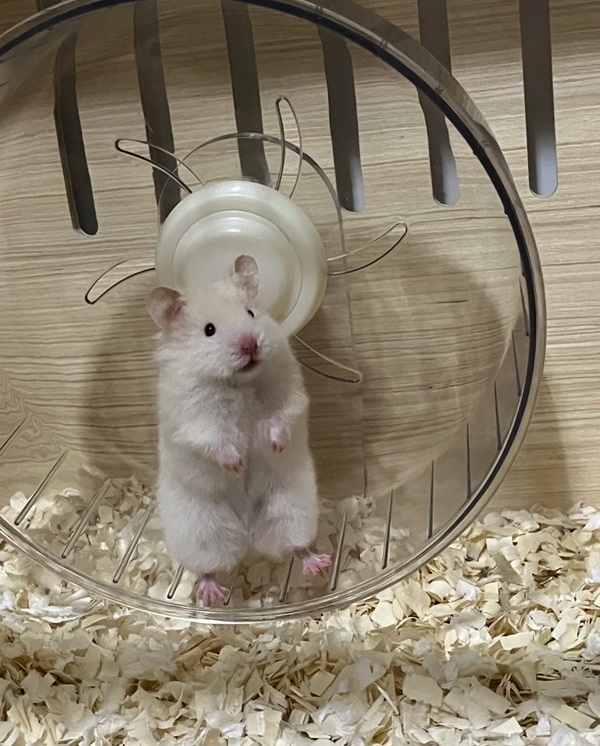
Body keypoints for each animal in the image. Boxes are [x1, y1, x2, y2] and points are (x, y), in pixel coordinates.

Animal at [147, 254, 331, 606]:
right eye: (209, 330)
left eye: (250, 313)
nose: (250, 344)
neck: (239, 383)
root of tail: (248, 536)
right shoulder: (194, 420)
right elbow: (215, 440)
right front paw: (237, 464)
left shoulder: (290, 394)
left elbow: (282, 417)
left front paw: (276, 446)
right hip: (201, 529)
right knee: (209, 565)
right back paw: (211, 594)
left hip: (291, 507)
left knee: (295, 545)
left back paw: (319, 563)